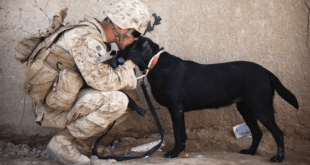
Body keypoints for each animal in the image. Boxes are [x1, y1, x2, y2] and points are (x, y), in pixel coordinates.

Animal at [116, 36, 298, 162]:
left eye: (126, 45)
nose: (114, 53)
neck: (156, 62)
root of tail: (266, 71)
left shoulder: (175, 108)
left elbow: (177, 134)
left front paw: (174, 153)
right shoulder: (179, 110)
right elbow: (182, 134)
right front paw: (180, 152)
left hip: (260, 107)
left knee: (277, 133)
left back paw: (278, 158)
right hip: (246, 108)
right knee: (258, 133)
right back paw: (250, 152)